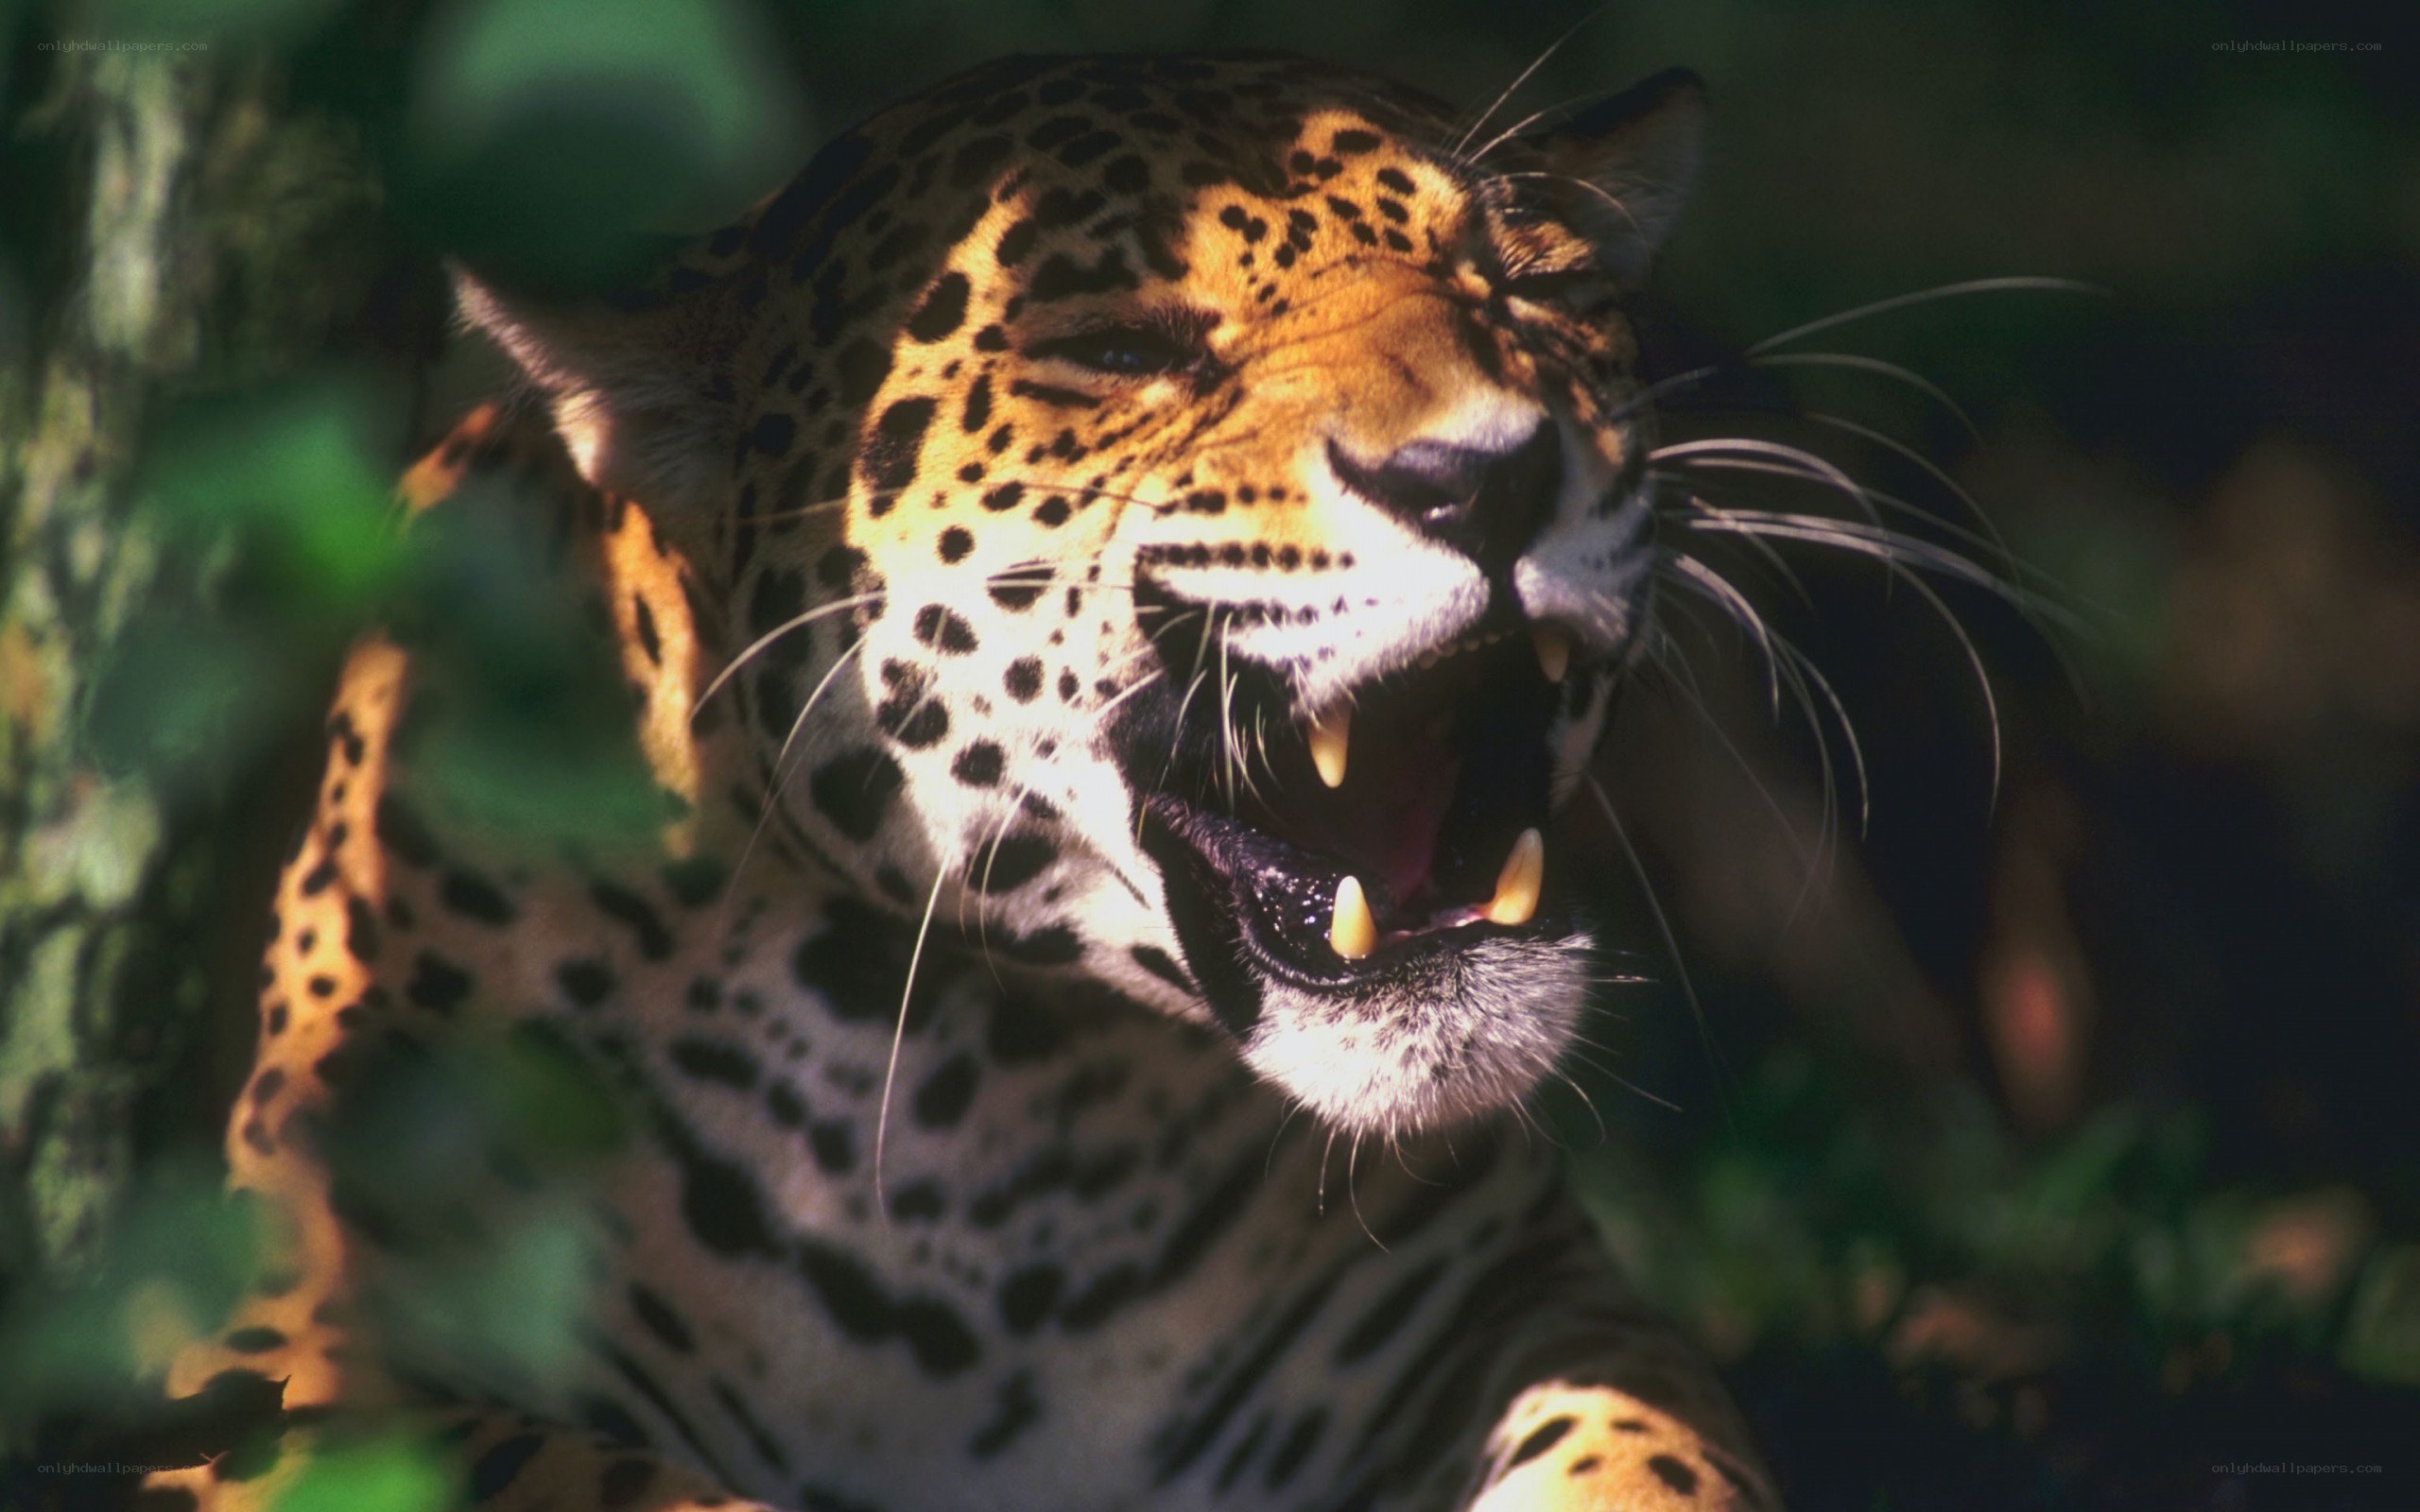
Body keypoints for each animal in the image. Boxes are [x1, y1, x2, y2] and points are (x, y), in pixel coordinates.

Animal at [148, 50, 1782, 1512]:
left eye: (1534, 287)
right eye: (1121, 347)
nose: (1489, 476)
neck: (1005, 1140)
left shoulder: (1518, 1296)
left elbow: (1656, 1449)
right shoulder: (292, 1355)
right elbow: (591, 1480)